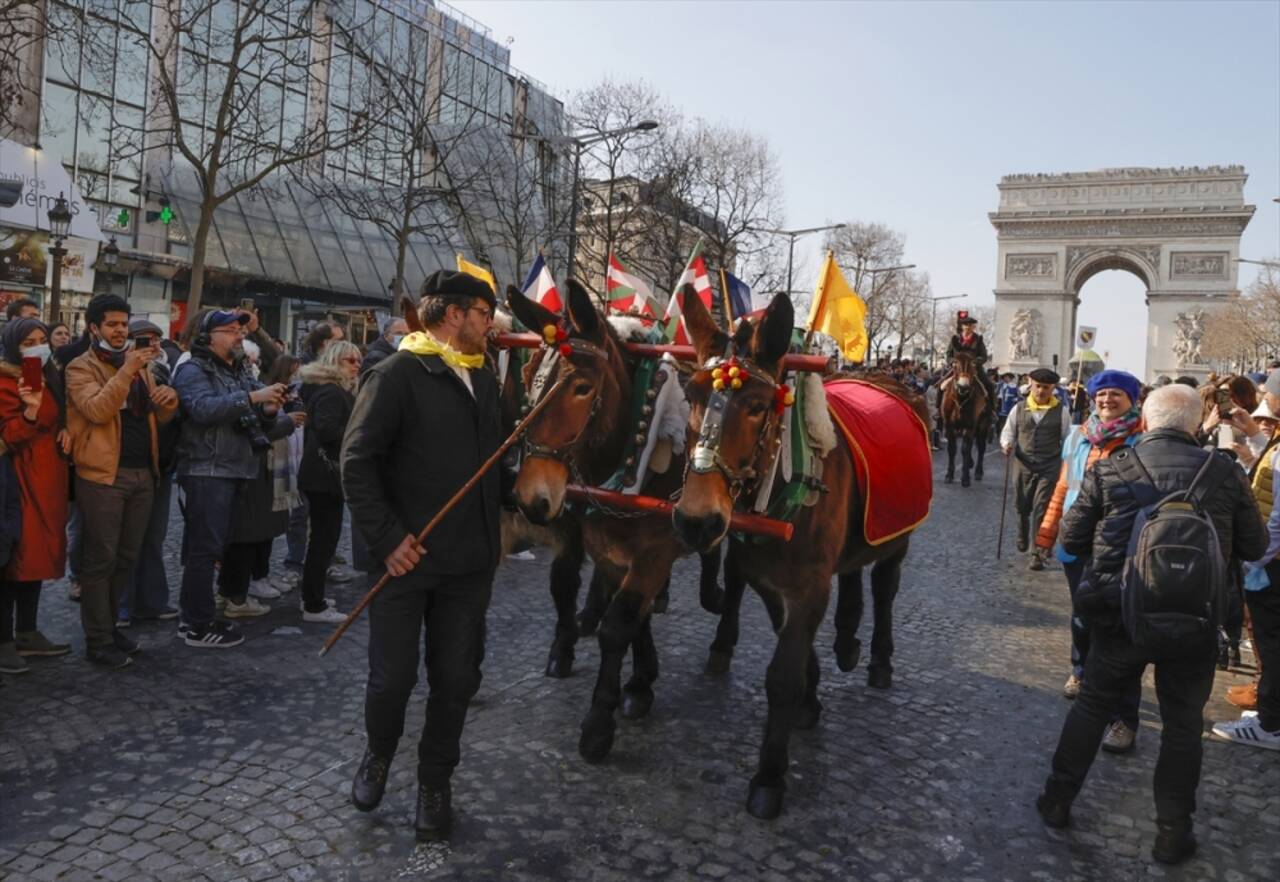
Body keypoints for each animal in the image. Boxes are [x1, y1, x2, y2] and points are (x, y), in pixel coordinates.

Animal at [506, 279, 732, 757]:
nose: (530, 498)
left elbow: (618, 625)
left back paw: (718, 613)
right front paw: (640, 680)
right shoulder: (603, 544)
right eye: (528, 374)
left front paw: (599, 721)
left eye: (582, 387)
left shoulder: (654, 551)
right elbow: (622, 612)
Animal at [670, 289, 931, 819]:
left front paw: (770, 775)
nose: (697, 520)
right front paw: (810, 697)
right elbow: (793, 647)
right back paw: (847, 638)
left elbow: (781, 675)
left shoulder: (808, 585)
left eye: (756, 405)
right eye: (692, 397)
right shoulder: (769, 580)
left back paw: (878, 657)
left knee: (884, 586)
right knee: (852, 570)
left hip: (898, 539)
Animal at [942, 350, 988, 489]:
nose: (963, 386)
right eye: (954, 364)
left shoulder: (970, 426)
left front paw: (965, 478)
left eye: (973, 364)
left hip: (983, 425)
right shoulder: (949, 426)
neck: (960, 400)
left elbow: (965, 449)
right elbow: (952, 449)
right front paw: (949, 475)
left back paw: (978, 471)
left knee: (981, 447)